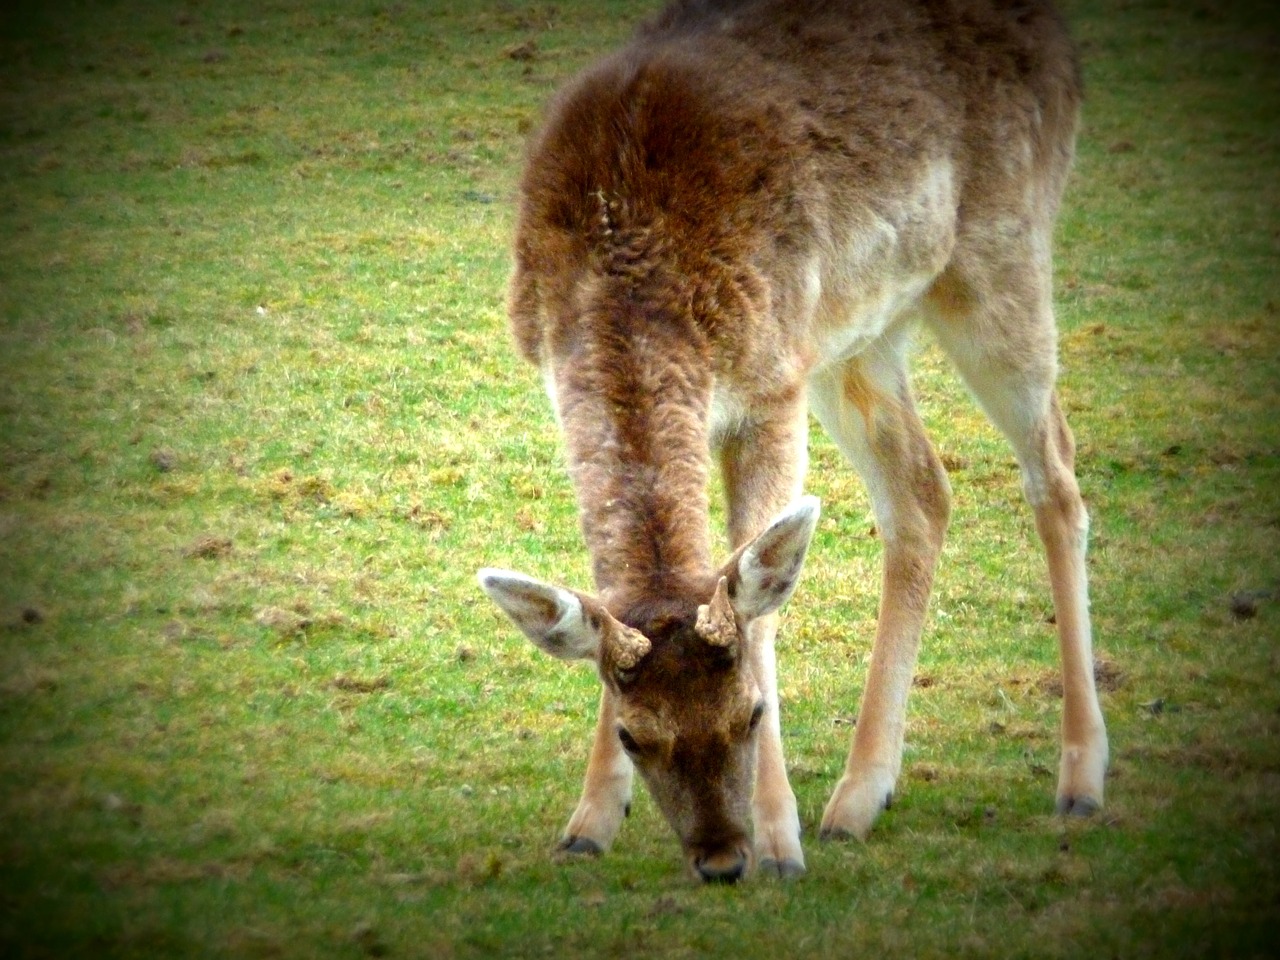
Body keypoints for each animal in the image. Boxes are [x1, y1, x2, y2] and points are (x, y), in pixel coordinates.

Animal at [476, 0, 1105, 885]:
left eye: (752, 712)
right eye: (636, 735)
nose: (720, 859)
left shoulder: (770, 387)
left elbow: (757, 601)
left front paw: (779, 843)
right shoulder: (558, 387)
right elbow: (615, 594)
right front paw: (587, 825)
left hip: (1001, 252)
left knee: (1056, 471)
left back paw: (1080, 781)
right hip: (854, 337)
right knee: (923, 490)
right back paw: (857, 801)